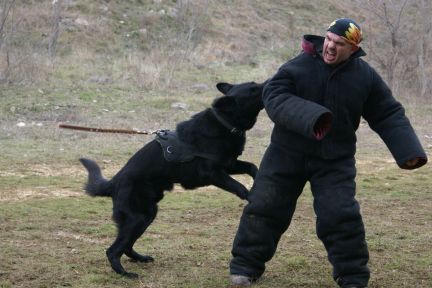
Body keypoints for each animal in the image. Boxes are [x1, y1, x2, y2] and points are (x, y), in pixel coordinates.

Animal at [79, 80, 264, 278]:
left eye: (254, 84)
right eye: (253, 89)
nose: (269, 82)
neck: (223, 122)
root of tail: (114, 182)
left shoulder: (229, 164)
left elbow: (252, 166)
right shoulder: (212, 173)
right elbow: (238, 186)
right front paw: (252, 196)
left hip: (147, 215)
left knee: (126, 246)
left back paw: (139, 258)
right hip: (138, 217)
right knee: (112, 250)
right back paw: (125, 273)